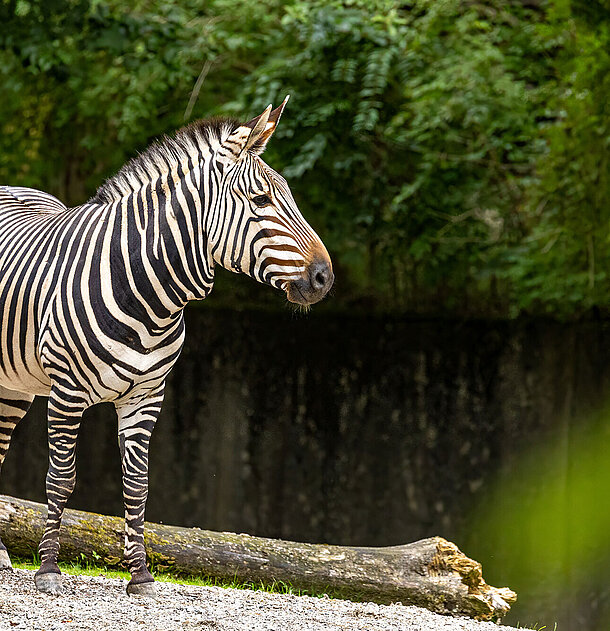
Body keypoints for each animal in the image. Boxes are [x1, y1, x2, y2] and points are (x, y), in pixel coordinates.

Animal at [0, 100, 332, 596]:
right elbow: (61, 479)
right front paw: (49, 571)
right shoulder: (67, 394)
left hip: (14, 386)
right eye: (261, 201)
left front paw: (139, 576)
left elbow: (137, 486)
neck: (146, 293)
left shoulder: (147, 396)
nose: (324, 278)